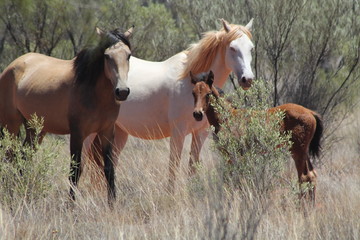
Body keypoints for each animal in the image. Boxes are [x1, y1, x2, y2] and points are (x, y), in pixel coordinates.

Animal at [85, 19, 255, 191]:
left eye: (251, 48)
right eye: (232, 48)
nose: (247, 79)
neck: (186, 81)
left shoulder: (200, 133)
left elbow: (192, 167)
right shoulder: (178, 132)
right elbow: (173, 167)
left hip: (119, 132)